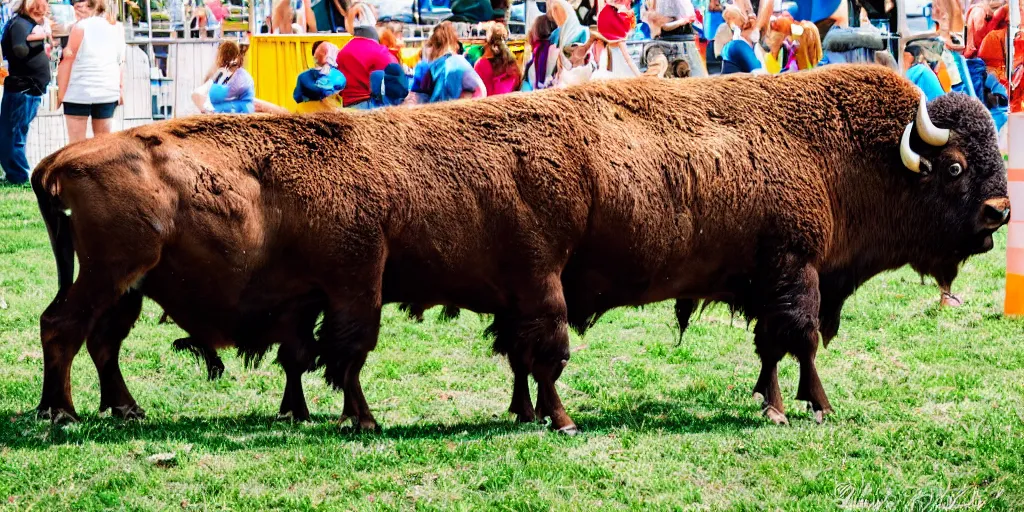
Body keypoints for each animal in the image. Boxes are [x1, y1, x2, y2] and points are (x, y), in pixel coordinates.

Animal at [32, 65, 1007, 432]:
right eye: (957, 164)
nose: (1001, 213)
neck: (838, 147)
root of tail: (61, 156)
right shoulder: (791, 269)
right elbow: (793, 341)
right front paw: (801, 406)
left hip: (126, 285)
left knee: (100, 340)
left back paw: (120, 409)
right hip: (117, 276)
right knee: (64, 331)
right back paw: (66, 413)